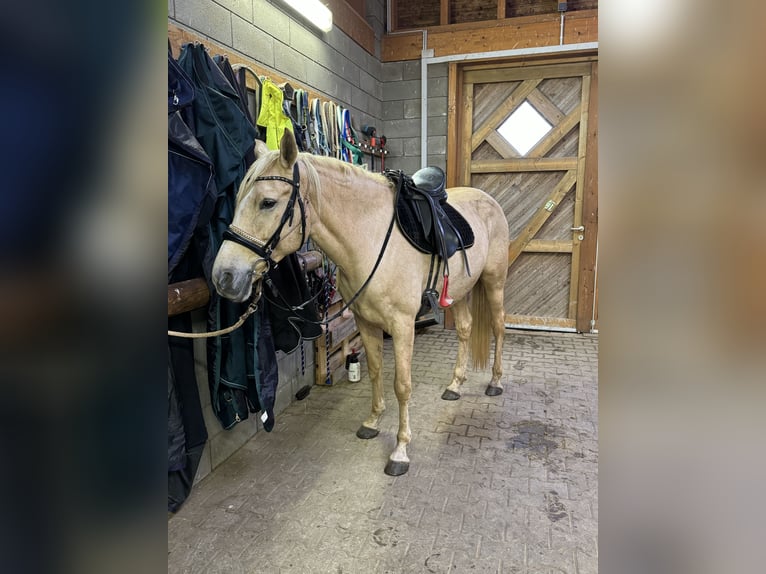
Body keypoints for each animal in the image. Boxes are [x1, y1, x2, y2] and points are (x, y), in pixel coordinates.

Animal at [212, 130, 510, 476]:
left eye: (268, 202)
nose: (224, 276)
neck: (370, 238)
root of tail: (487, 200)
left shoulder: (403, 325)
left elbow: (402, 385)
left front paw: (400, 450)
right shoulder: (365, 321)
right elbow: (376, 371)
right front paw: (372, 422)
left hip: (494, 283)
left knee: (499, 327)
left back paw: (495, 382)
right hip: (460, 291)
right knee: (464, 330)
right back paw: (455, 386)